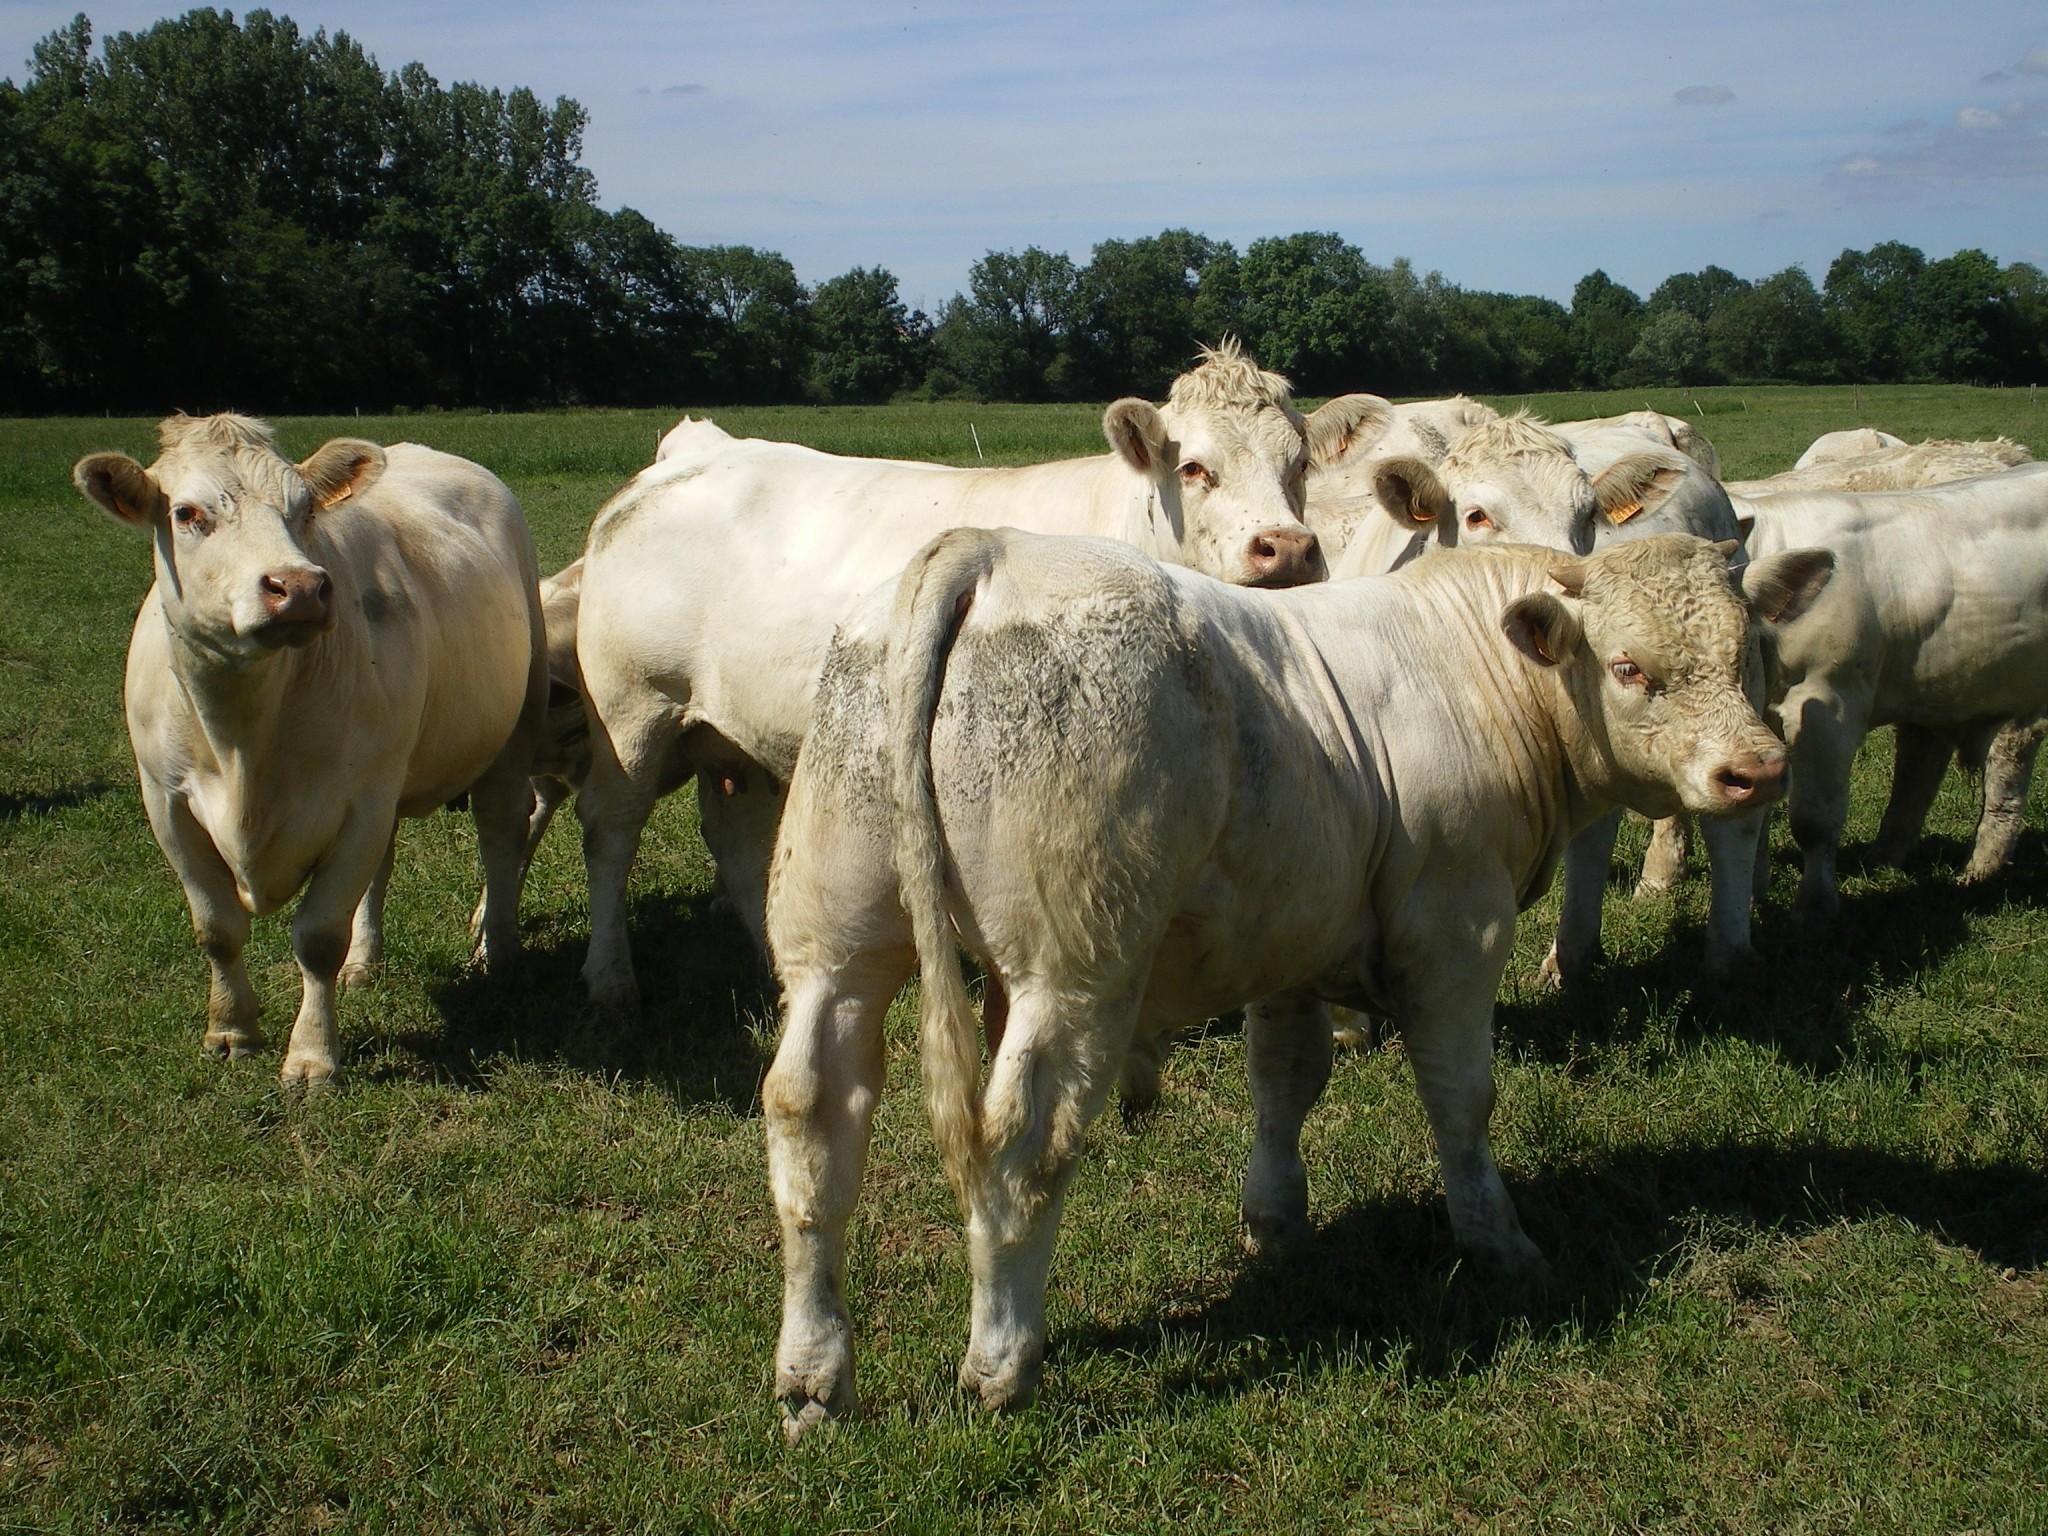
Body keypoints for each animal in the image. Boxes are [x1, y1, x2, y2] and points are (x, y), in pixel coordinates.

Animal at [76, 415, 548, 1089]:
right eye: (187, 513)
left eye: (302, 511)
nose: (297, 587)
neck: (243, 741)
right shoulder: (166, 804)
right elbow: (217, 929)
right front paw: (231, 1032)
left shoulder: (360, 803)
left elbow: (318, 937)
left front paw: (312, 1058)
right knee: (384, 866)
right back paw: (364, 963)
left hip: (510, 729)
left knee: (501, 832)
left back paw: (499, 948)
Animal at [569, 342, 1384, 1015]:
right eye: (1194, 468)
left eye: (1300, 465)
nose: (1286, 549)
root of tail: (692, 452)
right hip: (631, 707)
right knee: (610, 828)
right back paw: (609, 980)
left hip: (729, 732)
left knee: (736, 840)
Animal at [765, 528, 1826, 1433]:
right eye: (1631, 668)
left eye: (1749, 653)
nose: (1757, 770)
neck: (1484, 673)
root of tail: (988, 548)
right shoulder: (1455, 927)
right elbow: (1462, 1097)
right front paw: (1499, 1243)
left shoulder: (1288, 934)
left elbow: (1285, 1075)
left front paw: (1275, 1223)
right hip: (1071, 967)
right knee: (1024, 1139)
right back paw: (1001, 1362)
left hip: (834, 942)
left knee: (811, 1110)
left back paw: (814, 1376)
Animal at [1736, 462, 2048, 925]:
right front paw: (1754, 894)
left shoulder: (1829, 704)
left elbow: (1815, 821)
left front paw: (1815, 907)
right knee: (1922, 765)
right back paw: (1886, 857)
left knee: (2008, 759)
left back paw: (1979, 868)